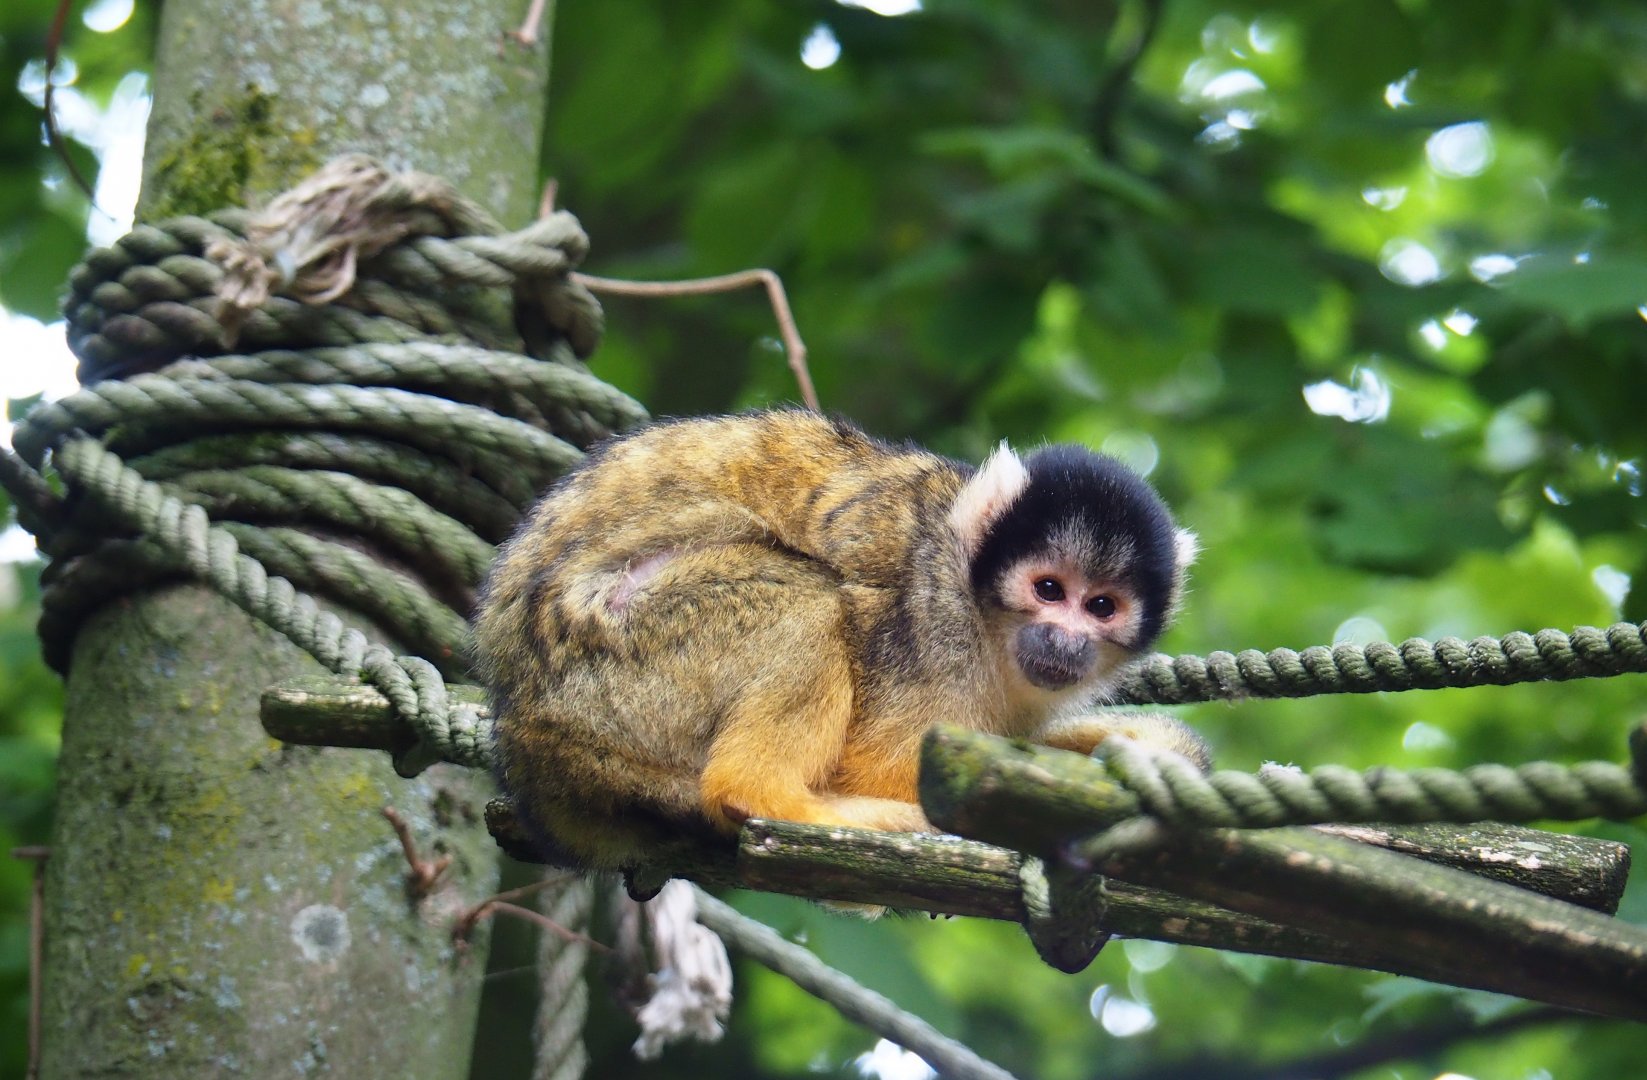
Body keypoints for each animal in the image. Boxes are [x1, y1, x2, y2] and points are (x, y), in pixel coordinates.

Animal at [473, 410, 1207, 872]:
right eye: (1049, 590)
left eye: (1101, 606)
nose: (1064, 639)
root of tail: (527, 726)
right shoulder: (927, 619)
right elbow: (889, 762)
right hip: (617, 655)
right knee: (811, 603)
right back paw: (782, 802)